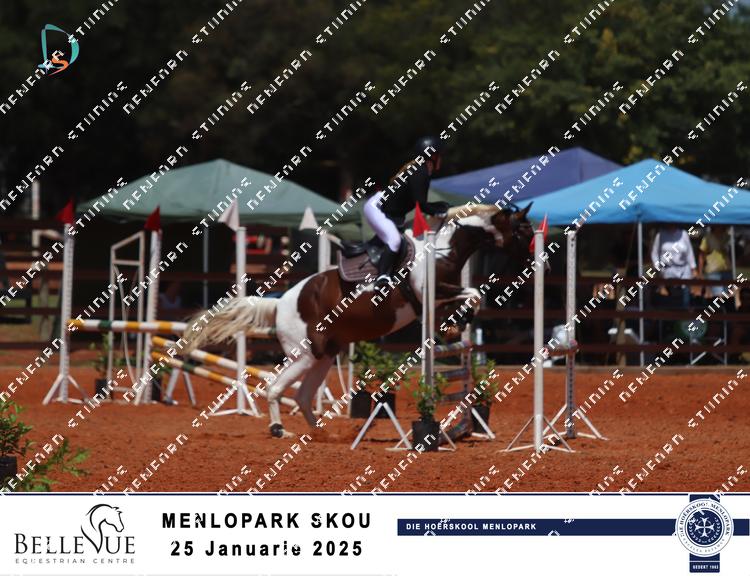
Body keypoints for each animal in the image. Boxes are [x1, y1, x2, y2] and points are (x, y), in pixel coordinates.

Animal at [179, 203, 534, 438]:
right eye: (521, 231)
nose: (529, 264)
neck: (441, 252)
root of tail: (280, 303)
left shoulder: (437, 298)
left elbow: (469, 296)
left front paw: (456, 325)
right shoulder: (430, 293)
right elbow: (472, 293)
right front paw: (459, 323)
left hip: (323, 355)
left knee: (303, 395)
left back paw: (321, 434)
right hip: (303, 353)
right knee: (276, 387)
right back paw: (280, 429)